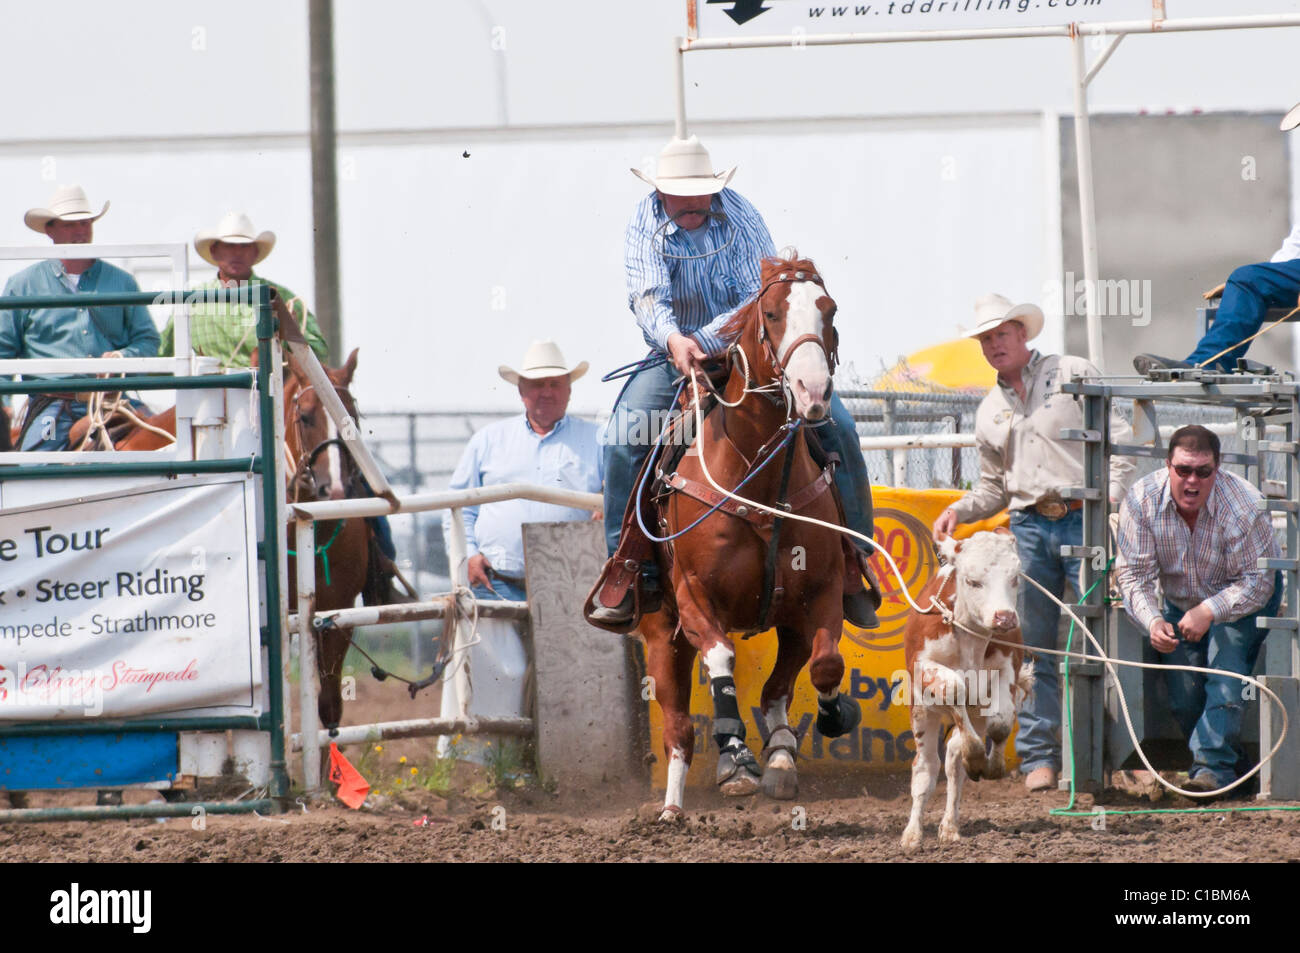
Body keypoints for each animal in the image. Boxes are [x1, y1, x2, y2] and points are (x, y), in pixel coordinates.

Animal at [642, 252, 863, 816]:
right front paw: (736, 757)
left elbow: (825, 664)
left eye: (830, 310)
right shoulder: (694, 596)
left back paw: (781, 756)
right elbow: (722, 657)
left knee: (776, 689)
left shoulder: (822, 591)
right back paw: (673, 806)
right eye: (772, 314)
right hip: (661, 631)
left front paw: (831, 718)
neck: (757, 480)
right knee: (678, 728)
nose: (812, 393)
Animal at [904, 527, 1034, 847]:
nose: (1005, 617)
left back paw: (950, 827)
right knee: (926, 769)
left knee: (953, 763)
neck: (971, 635)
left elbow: (1000, 723)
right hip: (922, 712)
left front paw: (990, 765)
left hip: (974, 713)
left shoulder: (1007, 668)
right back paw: (912, 834)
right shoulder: (923, 665)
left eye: (1015, 577)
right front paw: (976, 757)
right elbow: (953, 687)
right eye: (973, 581)